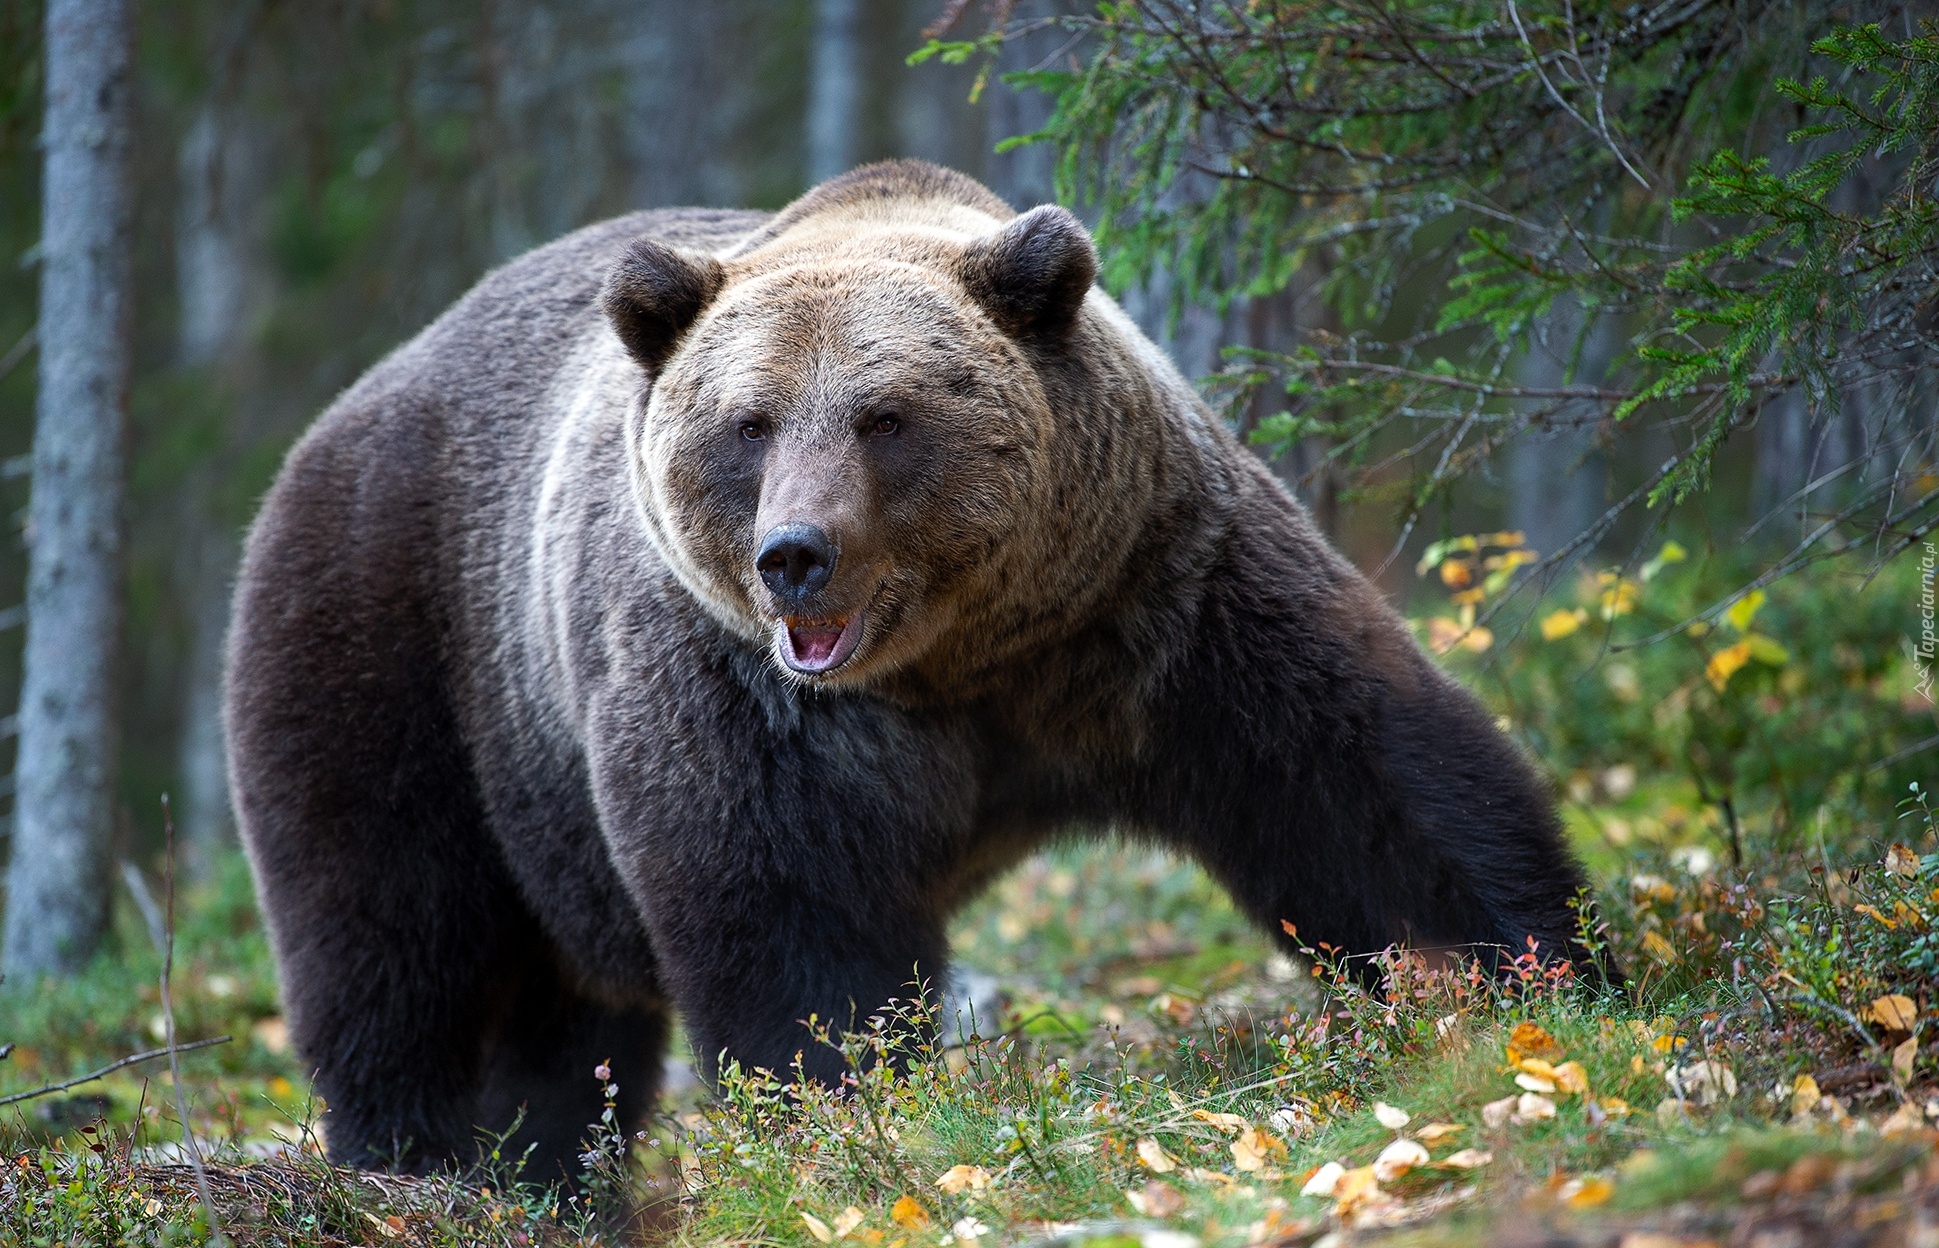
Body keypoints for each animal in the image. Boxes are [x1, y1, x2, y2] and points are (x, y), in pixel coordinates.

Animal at [222, 163, 1589, 1178]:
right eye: (749, 423)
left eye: (885, 415)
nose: (793, 556)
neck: (962, 660)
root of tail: (345, 410)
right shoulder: (748, 693)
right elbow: (792, 918)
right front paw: (842, 1112)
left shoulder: (1155, 598)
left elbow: (1356, 785)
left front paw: (1540, 976)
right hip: (402, 643)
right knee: (394, 938)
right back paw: (421, 1163)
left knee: (555, 1029)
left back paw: (540, 1173)